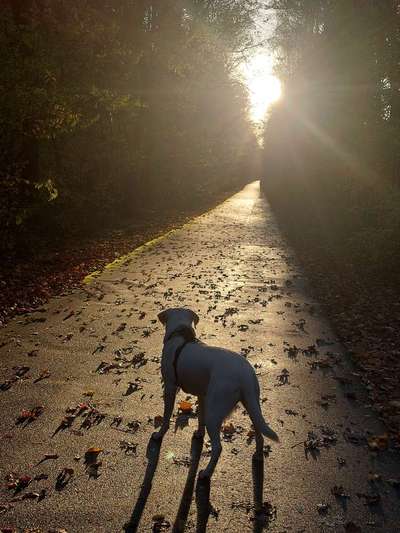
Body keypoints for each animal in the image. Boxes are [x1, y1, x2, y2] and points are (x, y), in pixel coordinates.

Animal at [152, 308, 280, 478]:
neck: (180, 335)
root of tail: (245, 375)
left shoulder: (170, 388)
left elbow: (166, 416)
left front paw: (159, 434)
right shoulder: (201, 395)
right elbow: (200, 417)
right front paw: (199, 433)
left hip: (215, 413)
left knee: (218, 447)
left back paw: (206, 472)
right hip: (252, 404)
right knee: (259, 434)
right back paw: (258, 455)